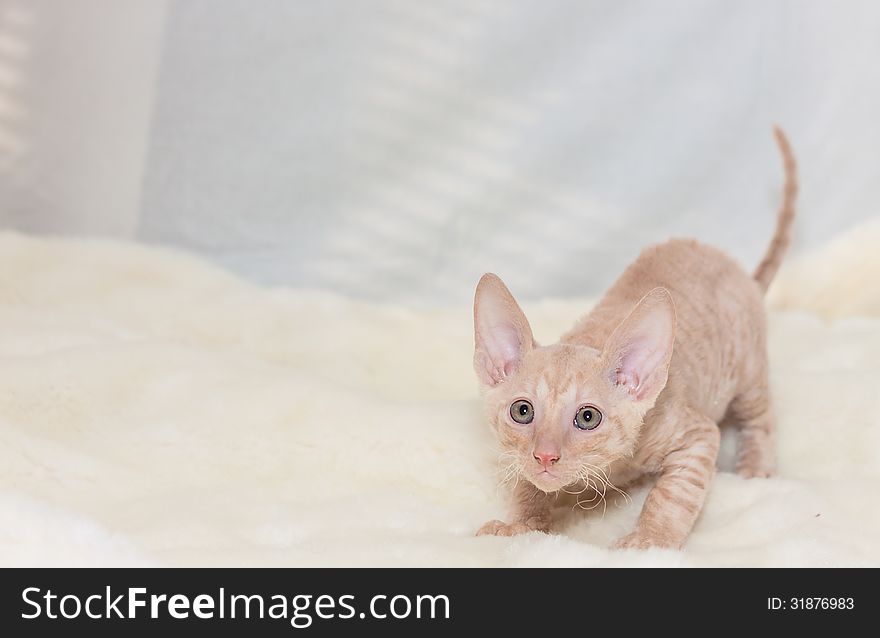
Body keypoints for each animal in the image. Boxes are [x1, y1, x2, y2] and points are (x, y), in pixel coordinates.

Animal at [474, 129, 796, 552]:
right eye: (522, 411)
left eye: (588, 417)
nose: (545, 456)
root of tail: (736, 269)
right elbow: (529, 487)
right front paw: (522, 524)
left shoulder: (695, 434)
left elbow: (673, 494)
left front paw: (650, 539)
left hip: (748, 370)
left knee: (760, 418)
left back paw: (756, 471)